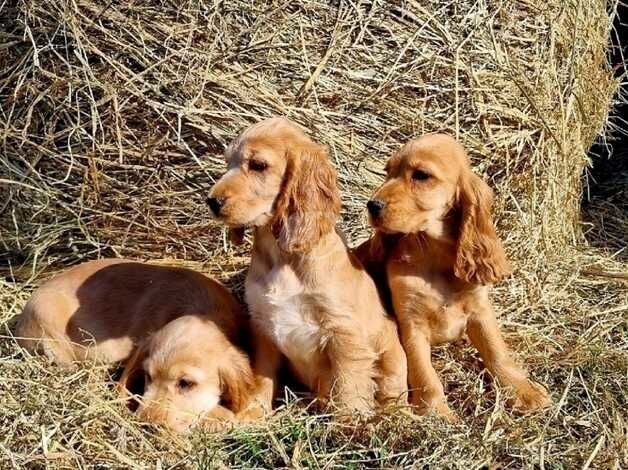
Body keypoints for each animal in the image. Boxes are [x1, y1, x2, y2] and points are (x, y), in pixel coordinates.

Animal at [209, 117, 410, 418]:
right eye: (227, 163)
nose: (212, 201)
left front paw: (349, 420)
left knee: (391, 389)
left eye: (258, 165)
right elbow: (262, 376)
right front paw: (253, 414)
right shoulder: (263, 328)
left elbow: (349, 383)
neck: (283, 256)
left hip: (392, 353)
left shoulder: (343, 331)